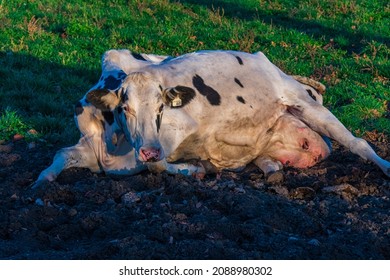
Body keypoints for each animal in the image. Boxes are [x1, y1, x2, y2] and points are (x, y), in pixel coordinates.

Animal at [34, 49, 390, 188]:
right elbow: (61, 154)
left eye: (161, 108)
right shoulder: (95, 149)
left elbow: (157, 165)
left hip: (300, 101)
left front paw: (193, 169)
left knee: (357, 142)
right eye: (126, 108)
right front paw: (41, 182)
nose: (148, 148)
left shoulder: (176, 130)